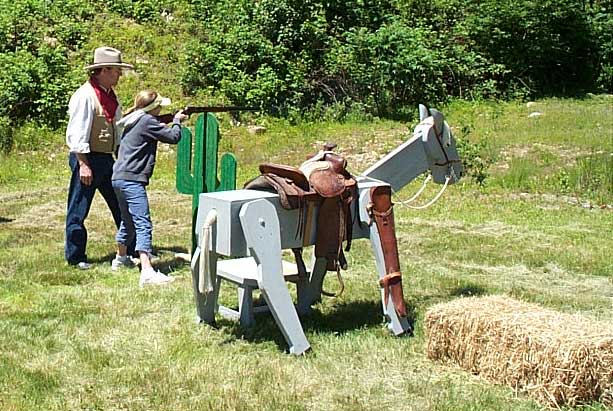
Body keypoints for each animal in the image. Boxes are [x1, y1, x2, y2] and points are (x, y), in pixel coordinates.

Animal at [189, 104, 462, 356]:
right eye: (448, 141)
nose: (458, 171)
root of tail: (216, 208)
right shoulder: (377, 218)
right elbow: (389, 271)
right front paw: (400, 325)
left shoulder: (328, 234)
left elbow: (320, 264)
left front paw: (310, 302)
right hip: (262, 231)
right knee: (269, 282)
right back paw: (300, 346)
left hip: (206, 242)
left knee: (197, 266)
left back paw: (205, 319)